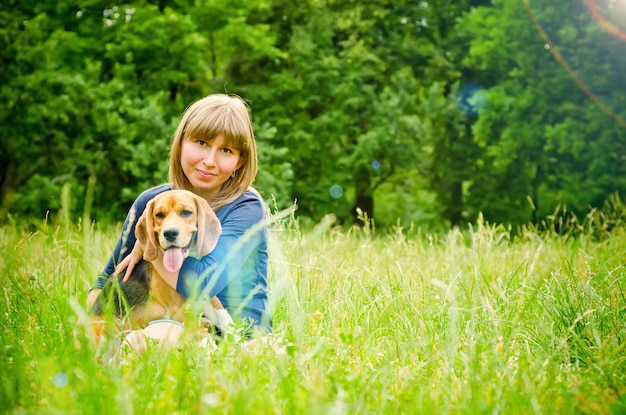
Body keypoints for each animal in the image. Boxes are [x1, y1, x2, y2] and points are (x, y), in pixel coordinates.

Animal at [90, 190, 227, 334]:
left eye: (186, 212)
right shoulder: (179, 310)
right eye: (159, 215)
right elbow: (203, 333)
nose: (170, 233)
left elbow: (221, 312)